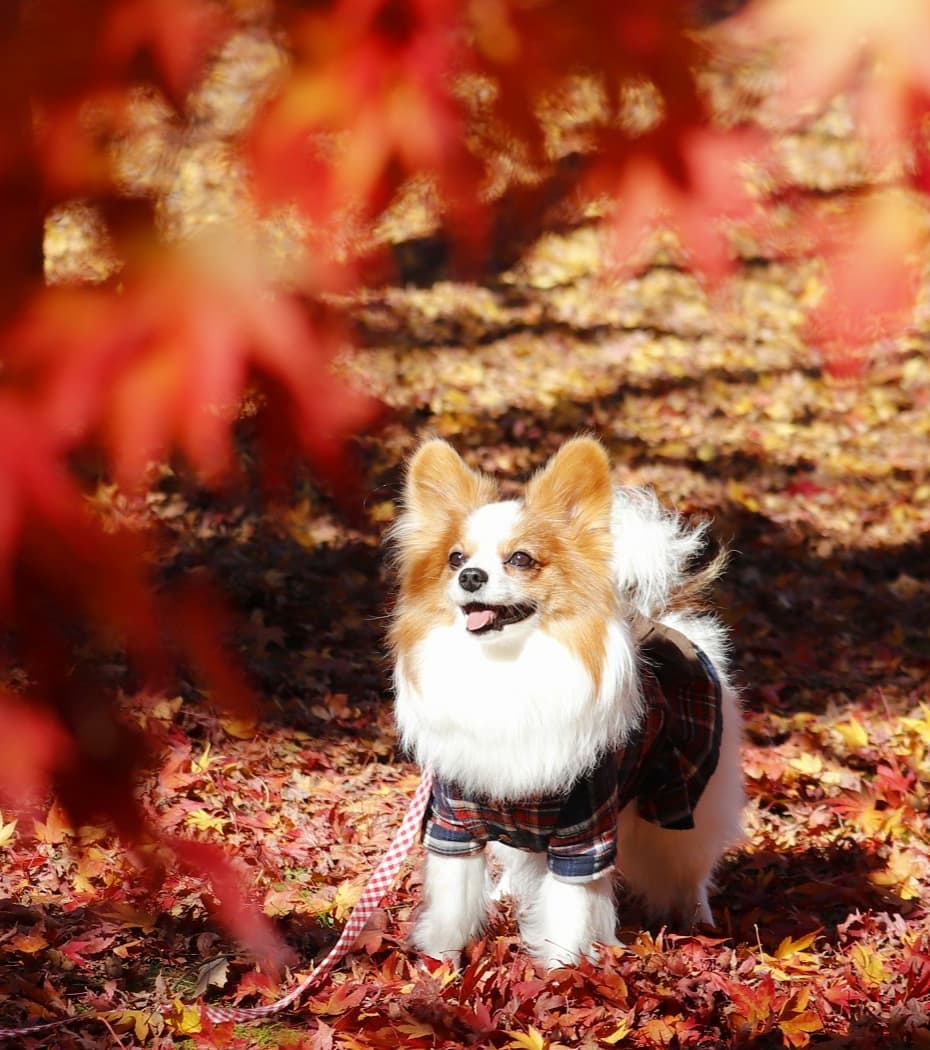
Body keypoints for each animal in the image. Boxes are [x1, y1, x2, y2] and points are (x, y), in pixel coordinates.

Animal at [390, 434, 747, 965]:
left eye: (520, 559)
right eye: (455, 559)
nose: (471, 576)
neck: (505, 668)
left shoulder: (584, 832)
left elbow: (569, 912)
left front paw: (561, 974)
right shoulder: (455, 823)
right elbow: (453, 907)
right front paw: (439, 968)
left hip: (679, 810)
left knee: (690, 870)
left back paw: (698, 919)